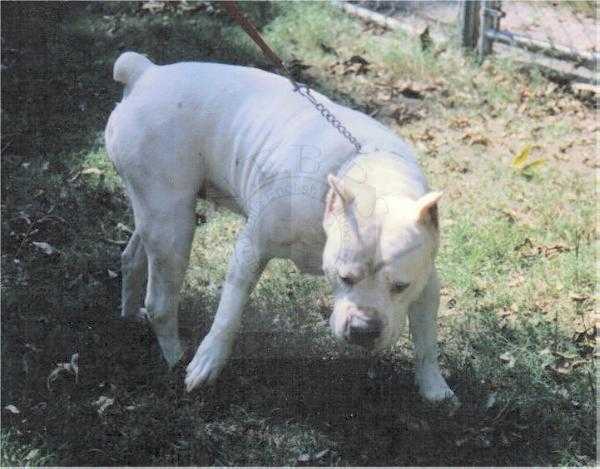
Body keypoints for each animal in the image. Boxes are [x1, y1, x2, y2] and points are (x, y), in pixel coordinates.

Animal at [106, 53, 454, 400]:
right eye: (345, 278)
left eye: (401, 286)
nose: (363, 330)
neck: (367, 172)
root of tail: (146, 73)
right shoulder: (252, 248)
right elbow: (228, 314)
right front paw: (208, 362)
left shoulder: (428, 281)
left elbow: (426, 340)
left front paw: (435, 389)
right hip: (172, 225)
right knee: (161, 301)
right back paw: (176, 359)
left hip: (155, 212)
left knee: (133, 257)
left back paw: (130, 314)